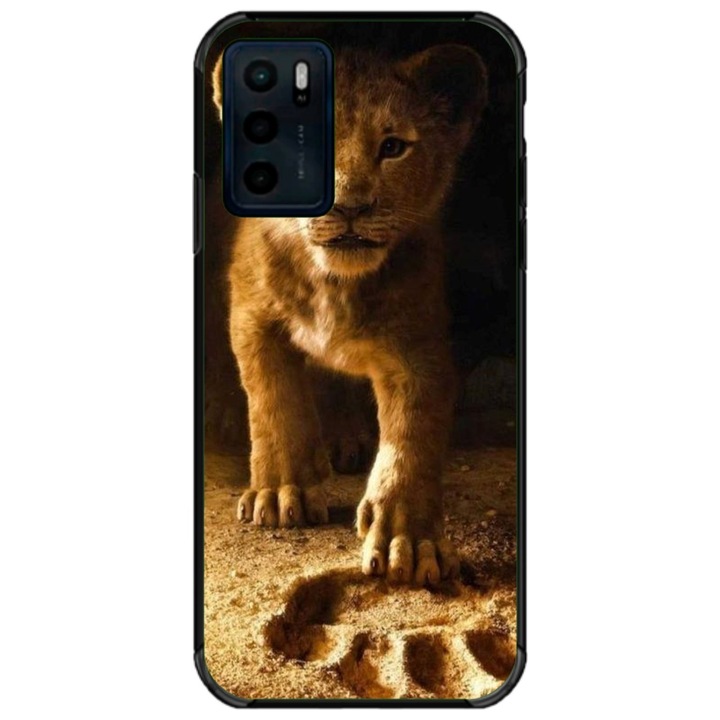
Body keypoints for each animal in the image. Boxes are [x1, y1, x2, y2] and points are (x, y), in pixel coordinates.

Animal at [212, 44, 488, 585]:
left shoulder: (418, 345)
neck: (334, 283)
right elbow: (274, 402)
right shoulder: (252, 315)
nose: (350, 206)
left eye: (393, 146)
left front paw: (409, 539)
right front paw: (281, 492)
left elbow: (412, 437)